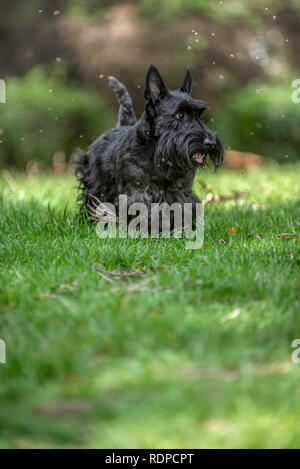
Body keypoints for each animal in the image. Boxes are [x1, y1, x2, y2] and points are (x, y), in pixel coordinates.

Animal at [76, 65, 224, 229]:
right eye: (180, 115)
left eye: (199, 114)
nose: (210, 143)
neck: (156, 154)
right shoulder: (137, 191)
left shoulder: (182, 191)